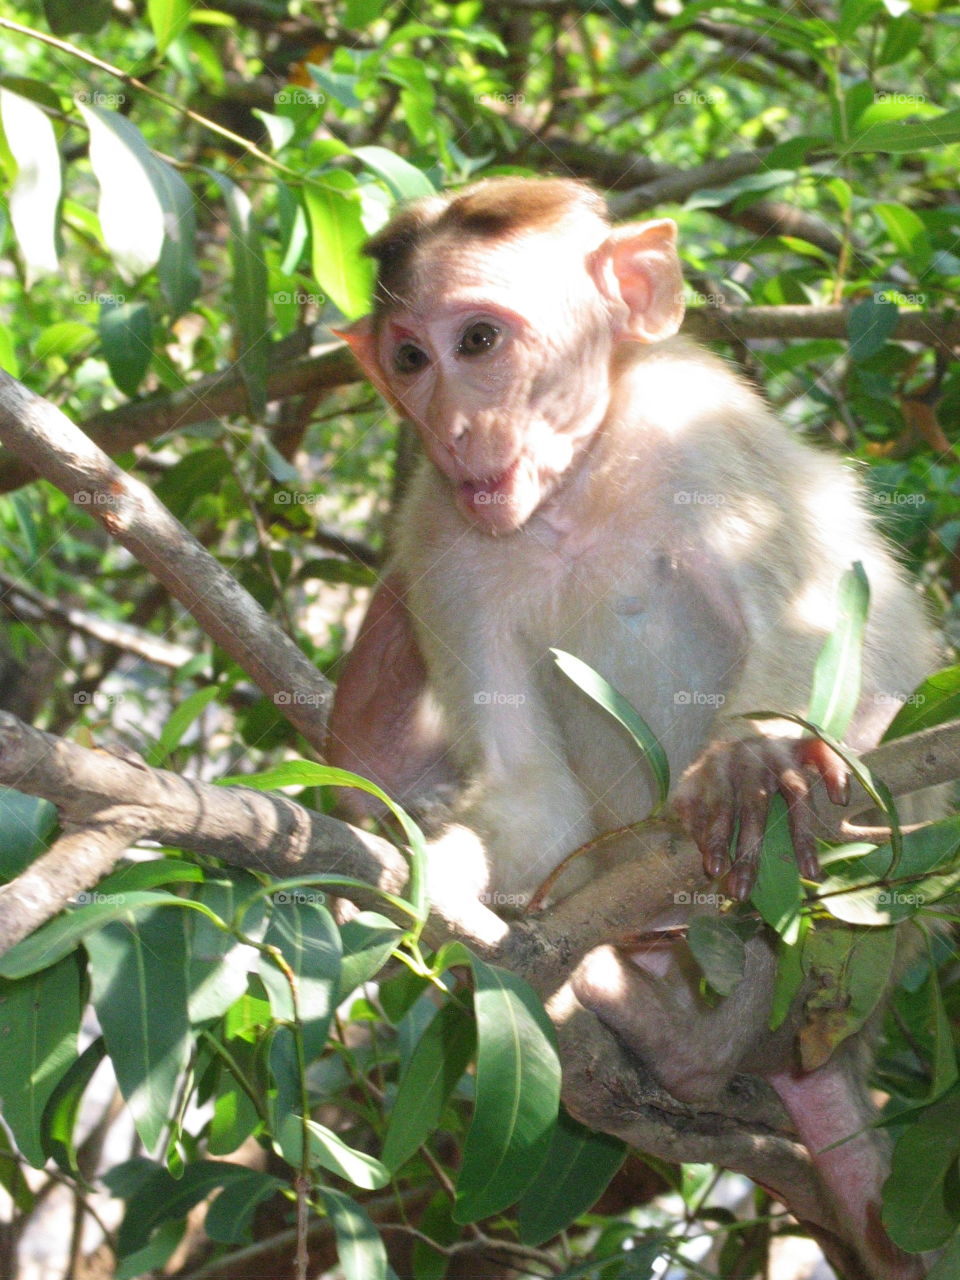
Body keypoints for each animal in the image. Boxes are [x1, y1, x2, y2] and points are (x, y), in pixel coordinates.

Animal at [325, 176, 940, 1277]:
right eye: (409, 360)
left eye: (478, 340)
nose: (452, 425)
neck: (575, 490)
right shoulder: (442, 533)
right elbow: (535, 806)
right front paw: (445, 868)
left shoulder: (701, 428)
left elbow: (837, 632)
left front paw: (754, 760)